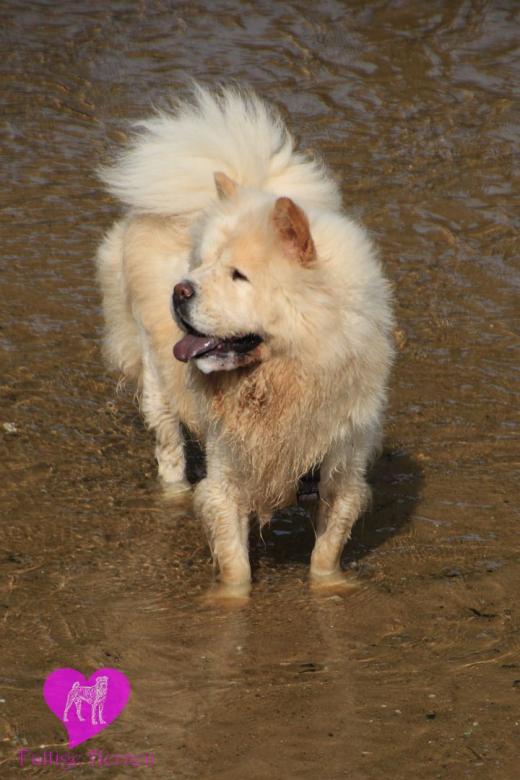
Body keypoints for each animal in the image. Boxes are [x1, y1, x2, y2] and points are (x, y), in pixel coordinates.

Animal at [96, 85, 394, 591]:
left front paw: (327, 590)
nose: (180, 289)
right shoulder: (227, 479)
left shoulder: (340, 473)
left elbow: (326, 552)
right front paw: (232, 602)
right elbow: (236, 566)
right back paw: (173, 492)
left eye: (238, 276)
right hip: (156, 380)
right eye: (202, 264)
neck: (280, 381)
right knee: (169, 447)